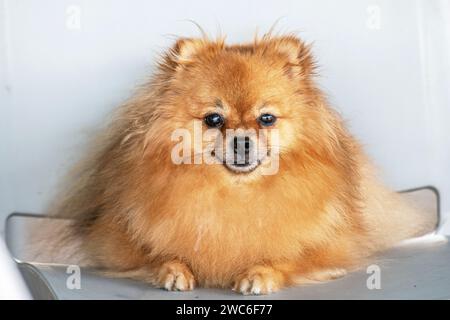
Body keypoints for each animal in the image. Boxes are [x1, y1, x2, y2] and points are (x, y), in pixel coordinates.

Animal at [51, 33, 436, 296]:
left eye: (266, 119)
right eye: (213, 119)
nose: (242, 141)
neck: (235, 194)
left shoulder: (330, 246)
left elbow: (290, 257)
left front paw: (260, 273)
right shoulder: (119, 242)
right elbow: (157, 254)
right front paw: (174, 270)